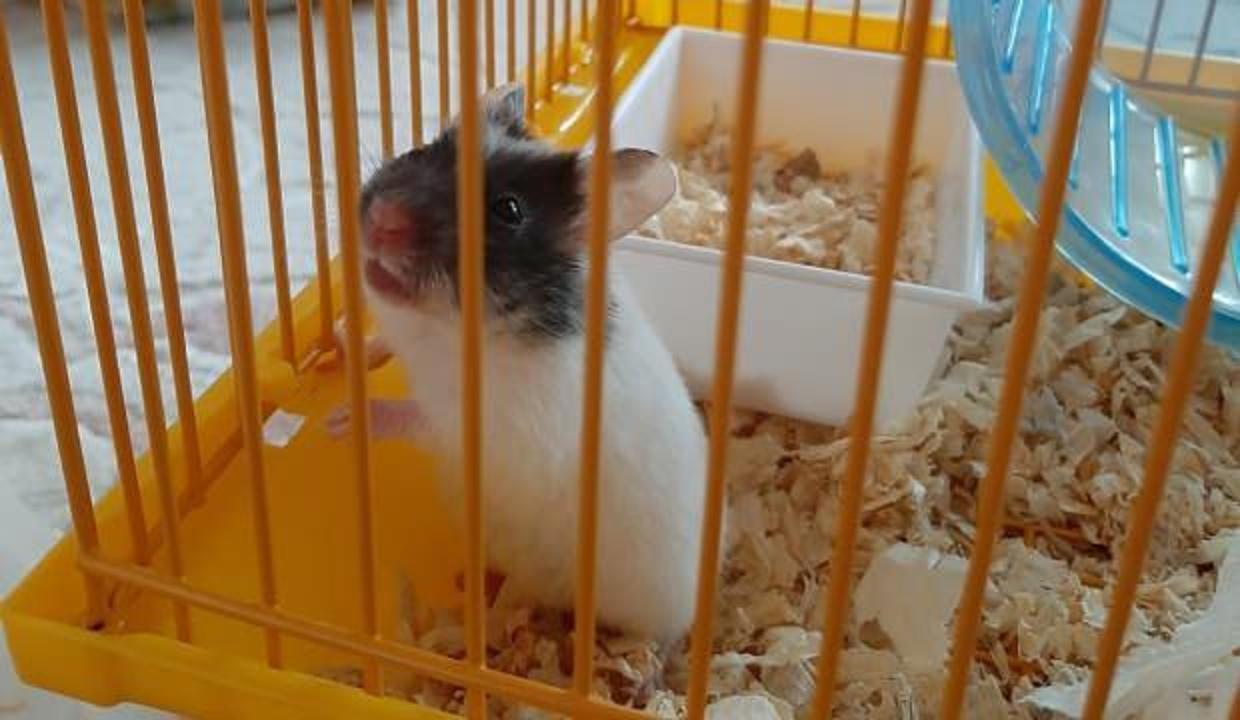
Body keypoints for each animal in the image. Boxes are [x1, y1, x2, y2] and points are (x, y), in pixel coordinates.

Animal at [327, 82, 715, 643]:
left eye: (508, 210)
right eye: (425, 148)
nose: (381, 219)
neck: (445, 328)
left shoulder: (486, 425)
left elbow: (412, 416)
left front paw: (340, 421)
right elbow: (383, 342)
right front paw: (343, 343)